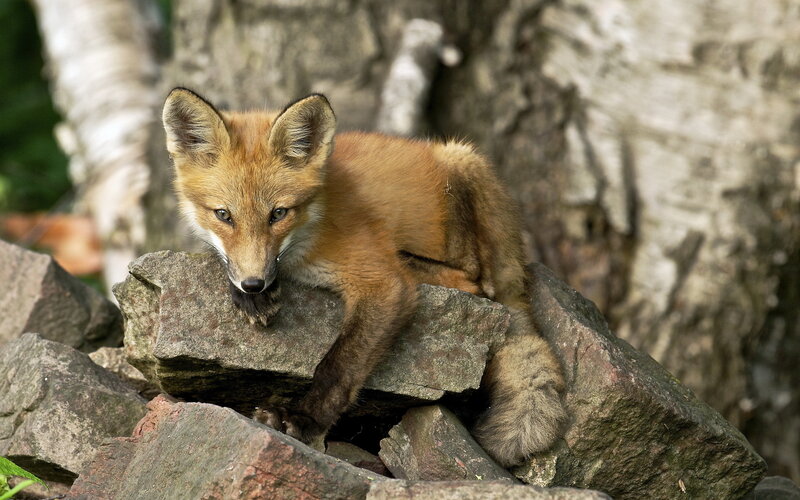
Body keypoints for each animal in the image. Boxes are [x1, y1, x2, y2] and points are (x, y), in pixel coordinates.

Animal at [161, 87, 565, 467]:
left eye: (278, 214)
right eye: (223, 215)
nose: (254, 283)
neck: (311, 229)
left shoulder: (382, 283)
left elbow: (339, 365)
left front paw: (305, 419)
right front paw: (252, 295)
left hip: (461, 166)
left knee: (475, 280)